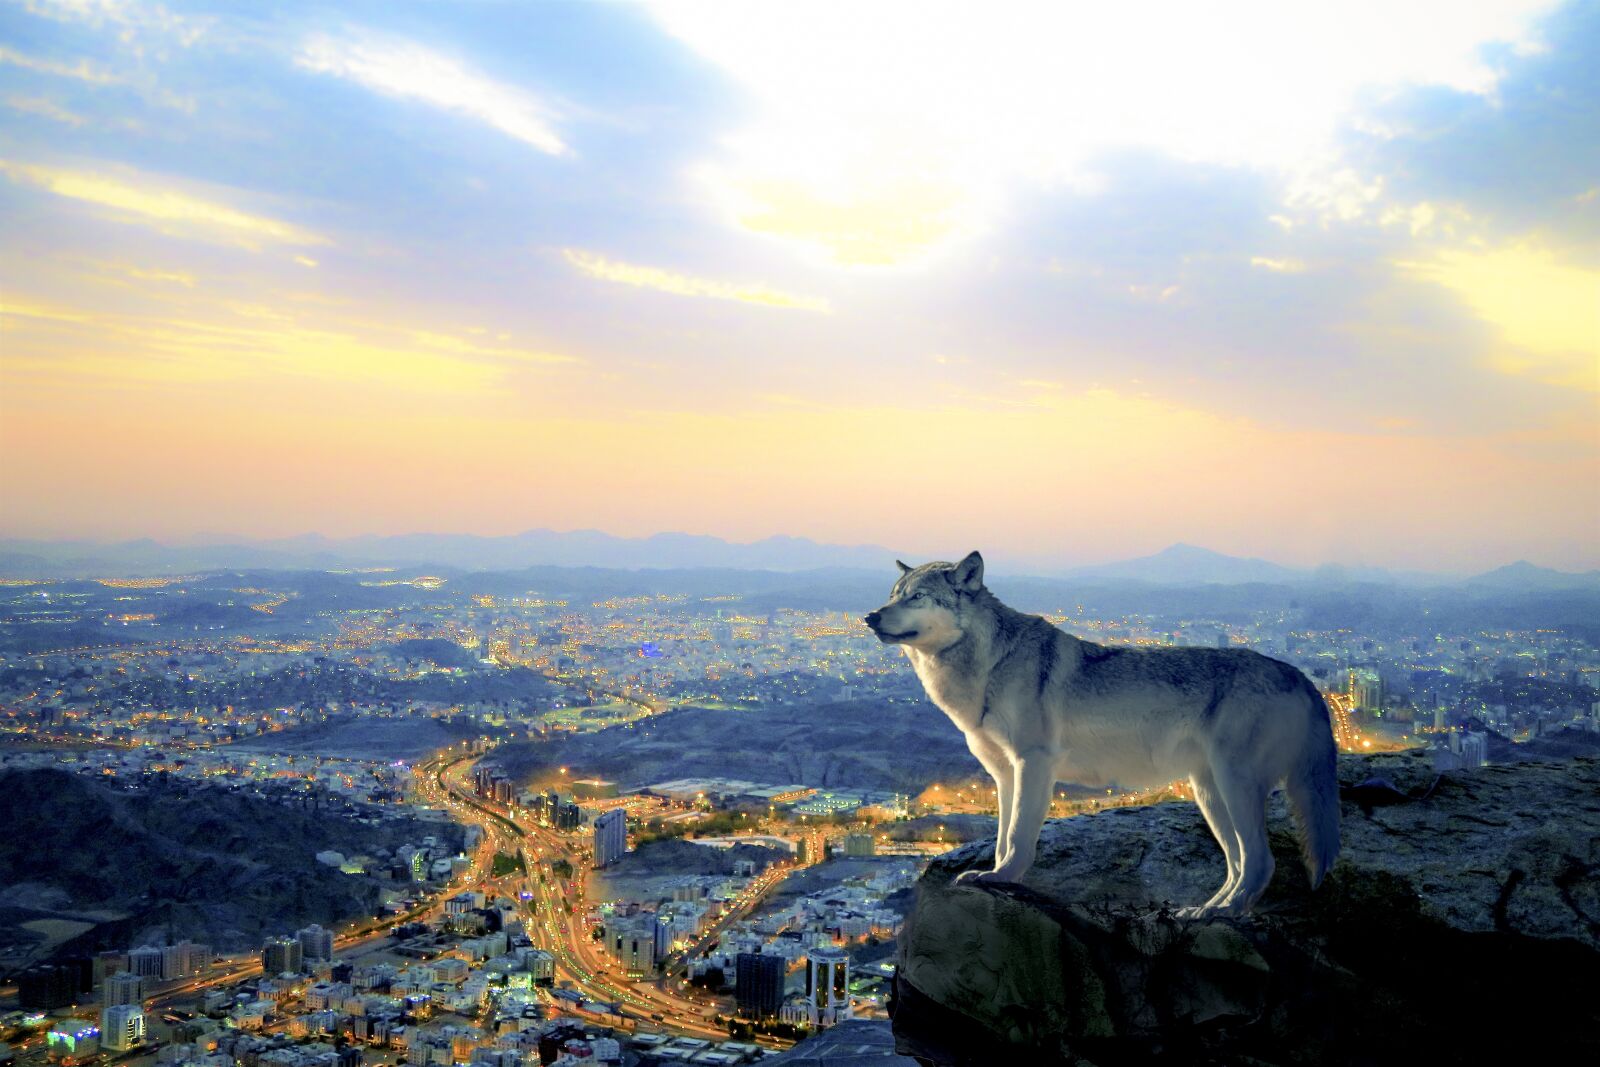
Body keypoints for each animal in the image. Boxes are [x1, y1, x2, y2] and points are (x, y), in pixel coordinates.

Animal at [865, 551, 1340, 916]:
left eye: (917, 597)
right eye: (892, 595)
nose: (869, 617)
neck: (990, 664)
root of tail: (1300, 675)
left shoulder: (1034, 763)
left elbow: (1018, 836)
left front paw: (1003, 878)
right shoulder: (1004, 774)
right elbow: (1001, 837)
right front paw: (994, 873)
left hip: (1234, 786)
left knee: (1260, 861)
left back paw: (1224, 913)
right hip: (1210, 793)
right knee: (1238, 863)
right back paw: (1204, 910)